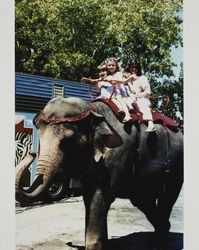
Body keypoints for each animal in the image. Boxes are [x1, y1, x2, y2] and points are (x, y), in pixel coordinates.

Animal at [15, 96, 183, 249]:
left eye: (67, 141)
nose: (32, 152)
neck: (93, 109)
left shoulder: (118, 154)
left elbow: (100, 197)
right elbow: (89, 197)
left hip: (176, 168)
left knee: (166, 199)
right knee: (143, 201)